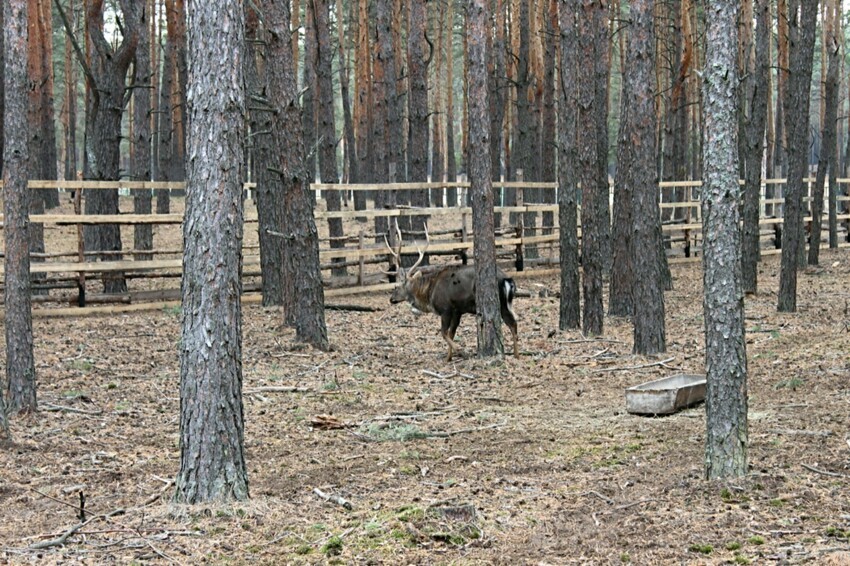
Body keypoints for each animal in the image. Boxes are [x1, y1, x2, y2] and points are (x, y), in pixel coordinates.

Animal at [384, 220, 516, 362]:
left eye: (396, 286)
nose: (391, 299)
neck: (429, 295)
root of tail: (507, 279)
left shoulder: (446, 309)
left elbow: (443, 333)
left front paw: (462, 351)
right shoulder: (458, 311)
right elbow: (451, 333)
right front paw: (448, 358)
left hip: (501, 301)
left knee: (512, 323)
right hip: (504, 303)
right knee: (513, 323)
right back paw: (516, 355)